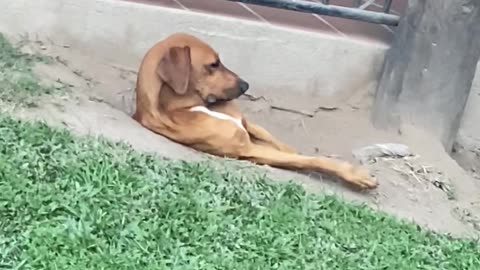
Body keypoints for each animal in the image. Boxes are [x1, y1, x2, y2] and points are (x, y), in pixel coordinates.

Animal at [132, 32, 378, 189]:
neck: (192, 107)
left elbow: (284, 146)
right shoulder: (247, 149)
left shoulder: (246, 123)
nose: (245, 85)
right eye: (213, 65)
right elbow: (309, 160)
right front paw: (353, 174)